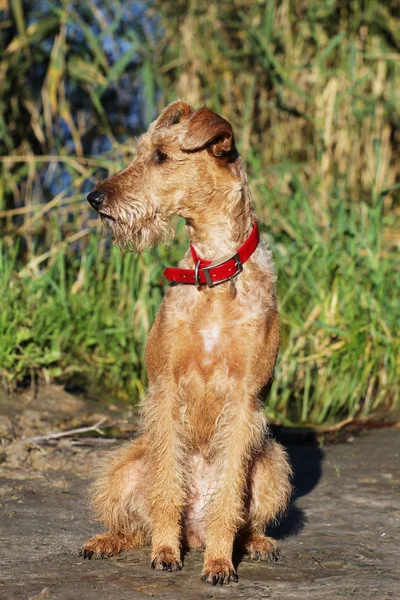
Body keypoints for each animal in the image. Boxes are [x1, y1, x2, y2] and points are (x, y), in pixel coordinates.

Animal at [82, 101, 294, 584]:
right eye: (141, 151)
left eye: (161, 156)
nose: (95, 198)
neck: (214, 272)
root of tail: (192, 532)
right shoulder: (164, 386)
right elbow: (165, 487)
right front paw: (165, 552)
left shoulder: (244, 398)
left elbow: (229, 495)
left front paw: (219, 564)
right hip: (122, 467)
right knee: (131, 524)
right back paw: (106, 543)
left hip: (272, 464)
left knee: (244, 519)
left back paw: (252, 545)